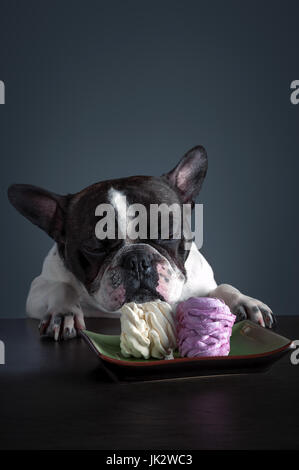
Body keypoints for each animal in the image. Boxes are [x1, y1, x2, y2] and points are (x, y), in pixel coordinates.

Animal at [7, 145, 276, 340]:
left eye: (168, 234)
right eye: (94, 249)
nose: (136, 259)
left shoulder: (202, 286)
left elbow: (223, 288)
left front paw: (245, 302)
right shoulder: (37, 289)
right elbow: (62, 287)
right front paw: (64, 313)